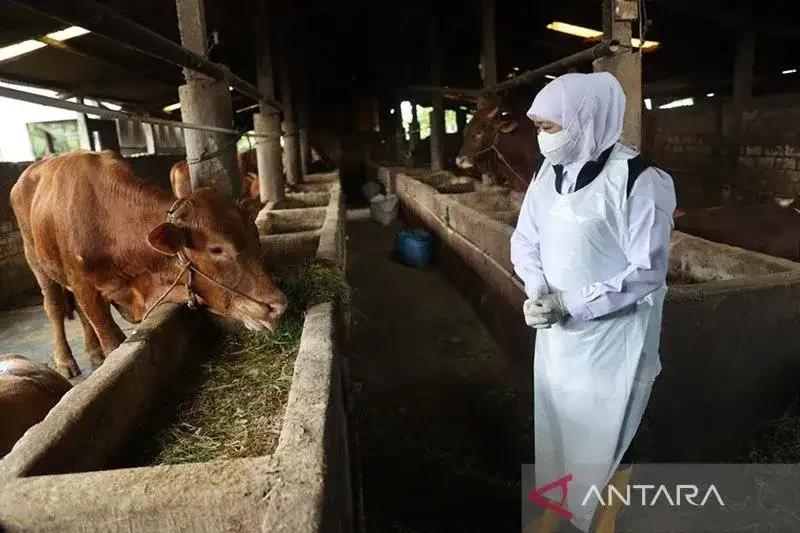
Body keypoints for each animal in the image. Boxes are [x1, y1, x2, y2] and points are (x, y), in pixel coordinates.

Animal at [12, 150, 288, 378]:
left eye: (255, 238)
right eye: (216, 249)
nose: (278, 305)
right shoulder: (84, 287)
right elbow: (111, 341)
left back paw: (93, 352)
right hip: (35, 260)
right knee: (55, 307)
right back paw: (66, 361)